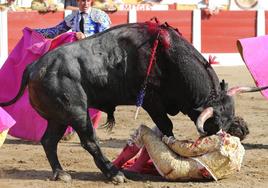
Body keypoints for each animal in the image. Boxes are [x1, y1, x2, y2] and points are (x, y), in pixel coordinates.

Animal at [0, 21, 268, 182]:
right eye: (216, 125)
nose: (236, 132)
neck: (169, 57)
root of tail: (34, 66)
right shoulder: (151, 101)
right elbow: (166, 128)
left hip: (59, 117)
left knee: (48, 140)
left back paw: (61, 173)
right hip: (76, 111)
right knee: (89, 141)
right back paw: (113, 173)